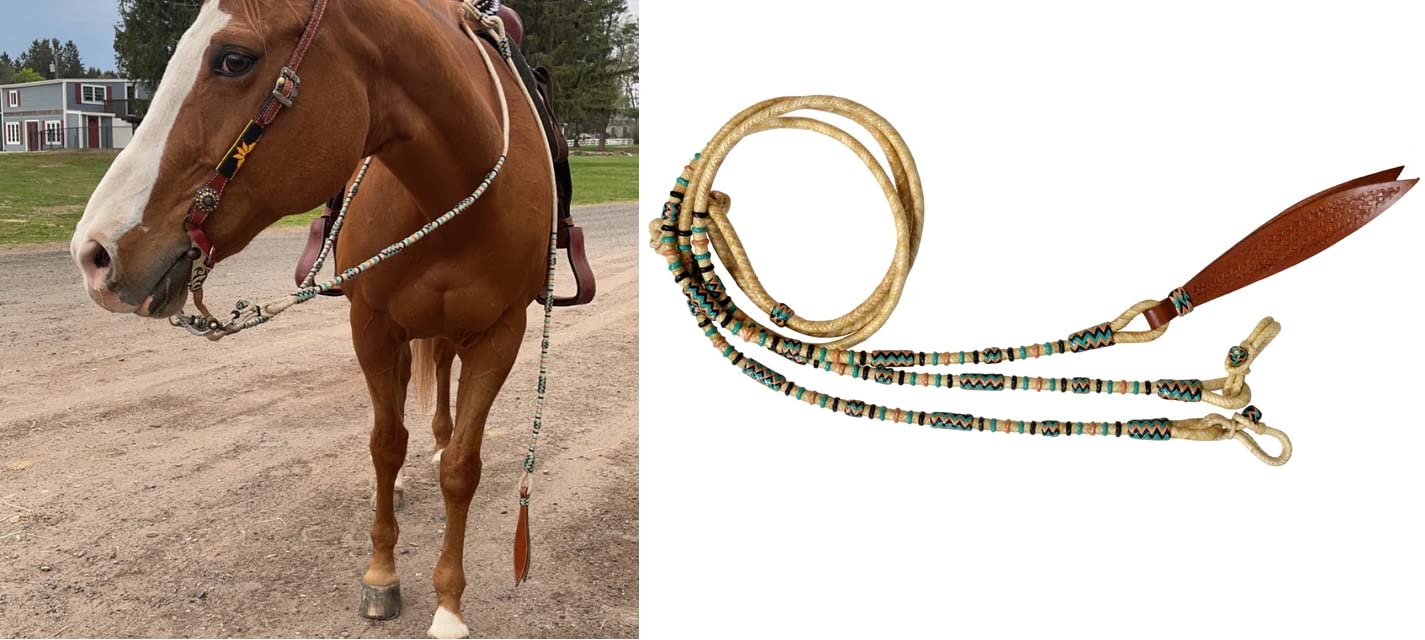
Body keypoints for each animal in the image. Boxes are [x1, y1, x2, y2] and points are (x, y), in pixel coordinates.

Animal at [68, 1, 556, 636]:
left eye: (234, 59)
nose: (93, 253)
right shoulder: (372, 325)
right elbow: (385, 444)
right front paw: (381, 574)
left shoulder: (501, 334)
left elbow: (460, 469)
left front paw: (449, 605)